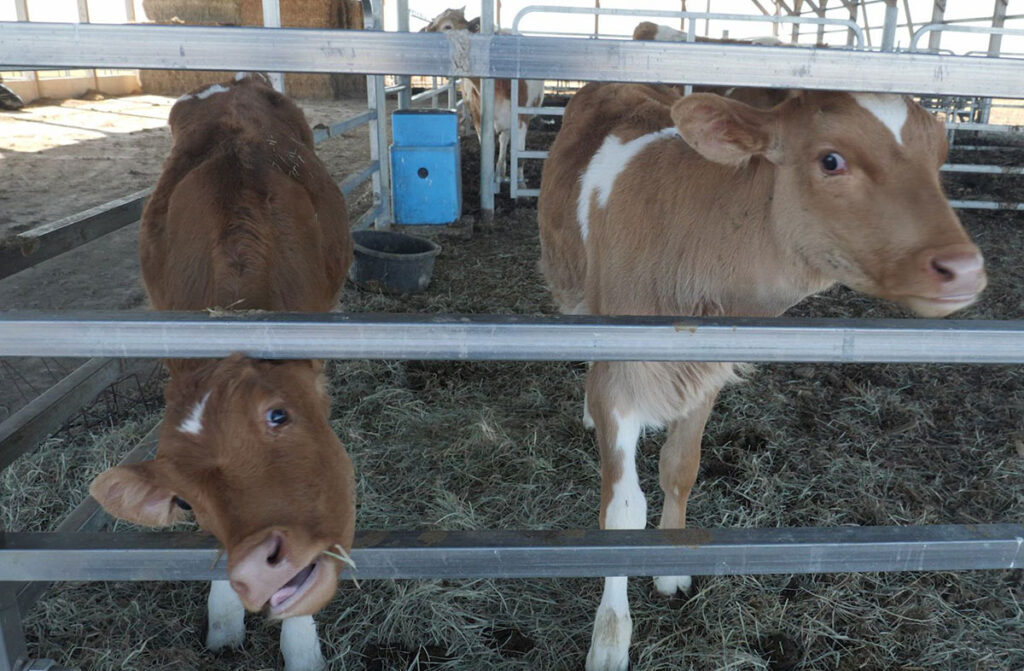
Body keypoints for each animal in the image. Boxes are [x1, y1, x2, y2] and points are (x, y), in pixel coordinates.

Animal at [422, 7, 546, 187]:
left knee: (505, 140)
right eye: (433, 21)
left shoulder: (522, 119)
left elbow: (520, 155)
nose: (421, 32)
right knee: (503, 140)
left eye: (447, 26)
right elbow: (489, 152)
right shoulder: (480, 121)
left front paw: (521, 185)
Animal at [537, 82, 986, 671]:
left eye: (939, 156)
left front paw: (670, 566)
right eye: (831, 160)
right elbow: (622, 511)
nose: (965, 269)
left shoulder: (700, 372)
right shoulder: (621, 379)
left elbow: (680, 469)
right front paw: (610, 639)